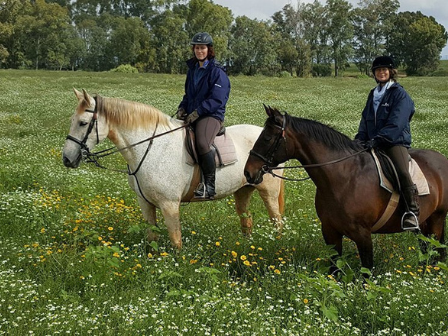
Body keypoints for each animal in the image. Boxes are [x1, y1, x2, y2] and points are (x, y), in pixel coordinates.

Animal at [61, 89, 286, 249]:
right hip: (243, 190)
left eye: (83, 123)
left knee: (277, 222)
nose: (67, 159)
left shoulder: (169, 204)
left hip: (269, 192)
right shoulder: (145, 202)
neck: (150, 148)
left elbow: (175, 240)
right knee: (246, 221)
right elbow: (151, 236)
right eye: (72, 121)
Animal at [245, 107, 448, 272]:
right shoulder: (330, 232)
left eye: (267, 138)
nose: (248, 172)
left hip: (437, 219)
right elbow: (334, 270)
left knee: (434, 250)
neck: (344, 178)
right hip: (424, 222)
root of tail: (442, 159)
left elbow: (366, 272)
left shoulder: (363, 235)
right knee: (426, 250)